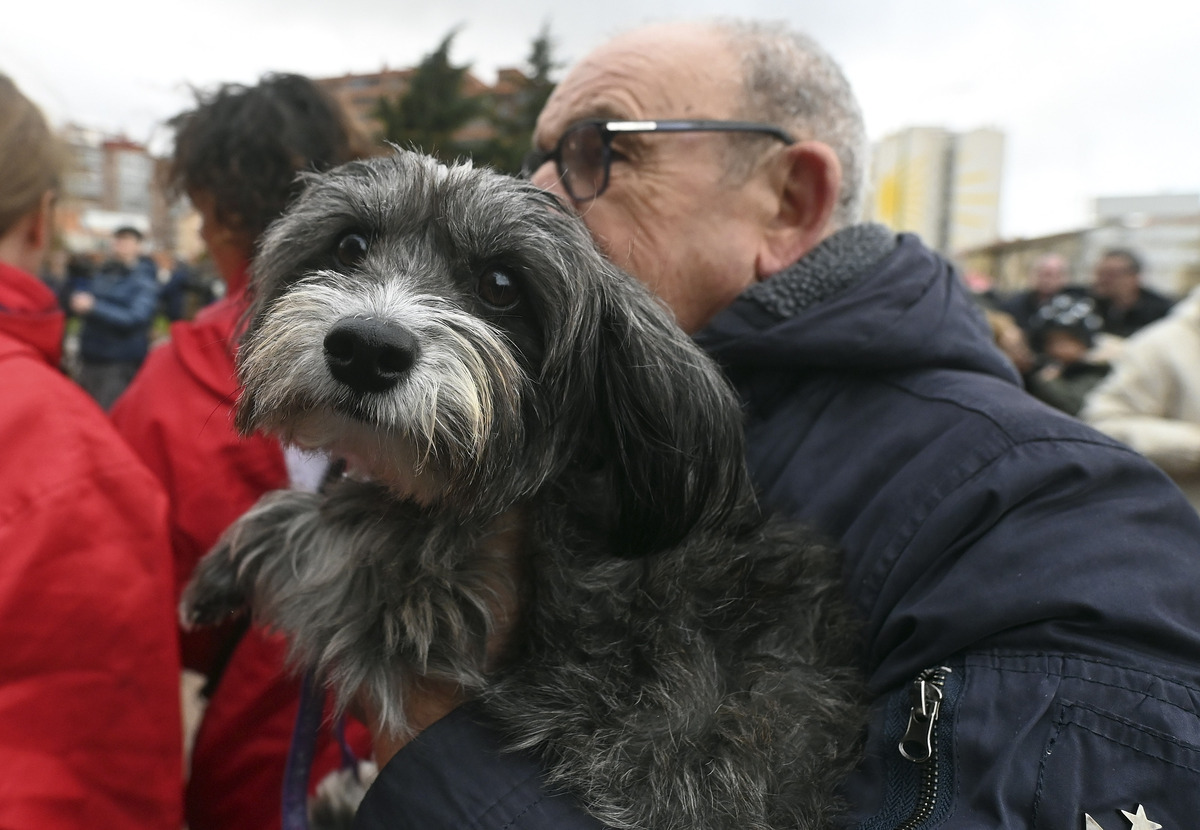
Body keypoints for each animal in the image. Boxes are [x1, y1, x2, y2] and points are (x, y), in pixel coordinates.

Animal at [182, 150, 868, 830]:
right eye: (349, 245)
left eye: (502, 286)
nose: (366, 349)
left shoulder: (422, 596)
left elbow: (316, 524)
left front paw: (221, 566)